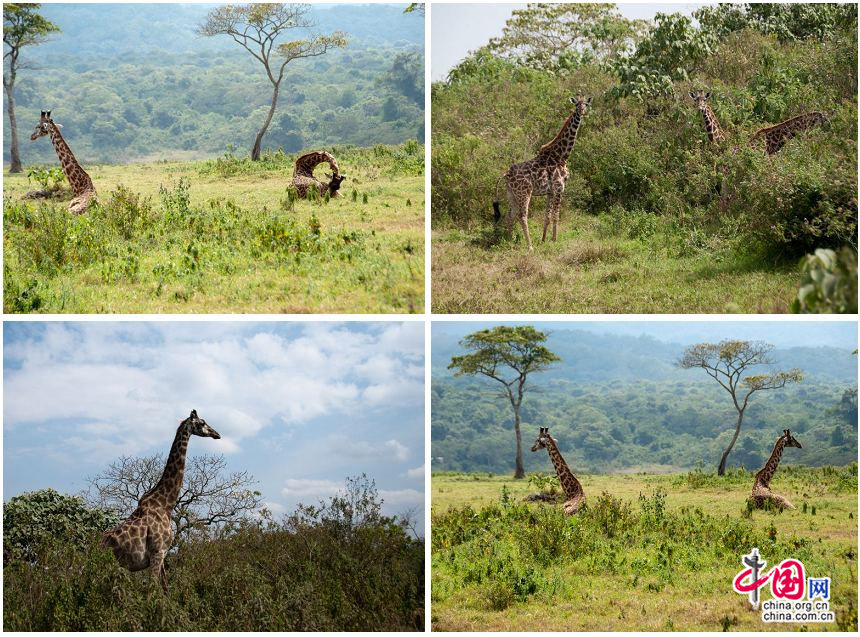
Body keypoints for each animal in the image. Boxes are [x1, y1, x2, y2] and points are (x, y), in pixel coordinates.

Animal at [101, 410, 222, 592]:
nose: (217, 434)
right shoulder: (157, 552)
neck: (165, 504)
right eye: (202, 423)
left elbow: (165, 589)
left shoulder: (163, 553)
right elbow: (152, 589)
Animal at [490, 95, 592, 250]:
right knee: (522, 216)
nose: (582, 111)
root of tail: (506, 174)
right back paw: (530, 246)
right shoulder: (559, 188)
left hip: (511, 194)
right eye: (576, 105)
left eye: (586, 104)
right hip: (525, 192)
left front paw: (544, 240)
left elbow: (547, 216)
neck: (561, 156)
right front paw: (555, 240)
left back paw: (509, 240)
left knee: (510, 215)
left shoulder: (550, 191)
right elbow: (556, 215)